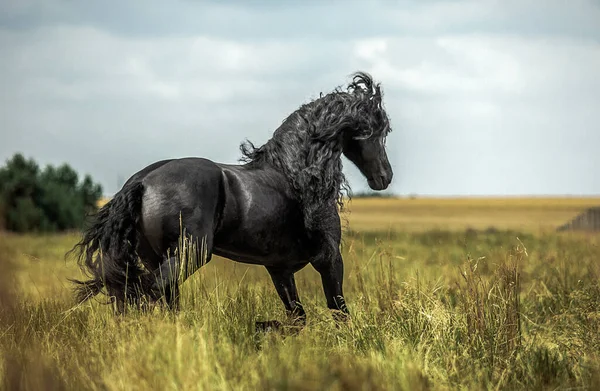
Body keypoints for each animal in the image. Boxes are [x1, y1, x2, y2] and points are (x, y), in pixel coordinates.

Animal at [70, 71, 392, 328]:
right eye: (378, 131)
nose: (385, 177)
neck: (295, 173)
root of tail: (142, 181)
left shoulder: (280, 269)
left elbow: (297, 318)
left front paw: (267, 328)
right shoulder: (329, 258)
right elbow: (338, 310)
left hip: (157, 258)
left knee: (151, 298)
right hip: (191, 254)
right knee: (151, 292)